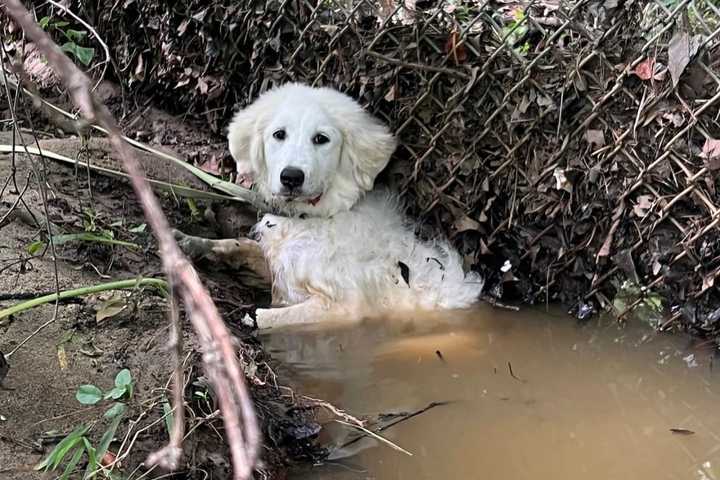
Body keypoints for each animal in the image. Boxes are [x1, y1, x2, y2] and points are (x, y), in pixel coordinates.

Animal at [176, 84, 484, 328]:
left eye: (321, 139)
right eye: (279, 134)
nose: (291, 177)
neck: (314, 218)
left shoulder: (343, 306)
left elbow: (272, 316)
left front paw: (249, 317)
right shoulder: (281, 268)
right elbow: (239, 244)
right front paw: (192, 242)